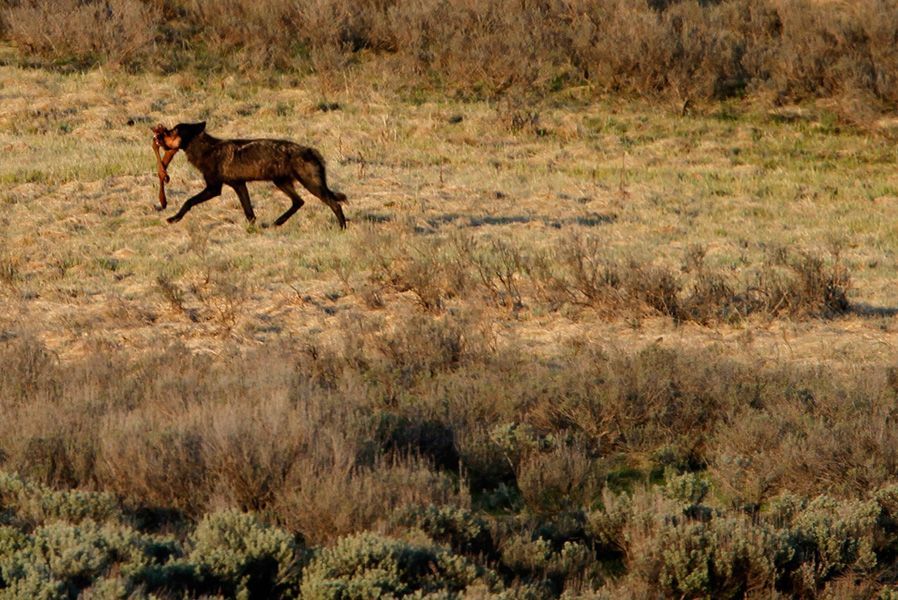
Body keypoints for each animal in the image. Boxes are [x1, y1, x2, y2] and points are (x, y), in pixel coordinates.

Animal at [154, 121, 346, 227]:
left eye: (172, 131)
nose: (156, 136)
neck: (206, 150)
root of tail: (310, 150)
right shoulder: (239, 185)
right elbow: (250, 214)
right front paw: (253, 230)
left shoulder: (214, 188)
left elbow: (188, 201)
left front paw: (174, 218)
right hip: (282, 183)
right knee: (299, 202)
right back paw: (277, 222)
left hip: (311, 185)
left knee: (335, 204)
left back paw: (342, 228)